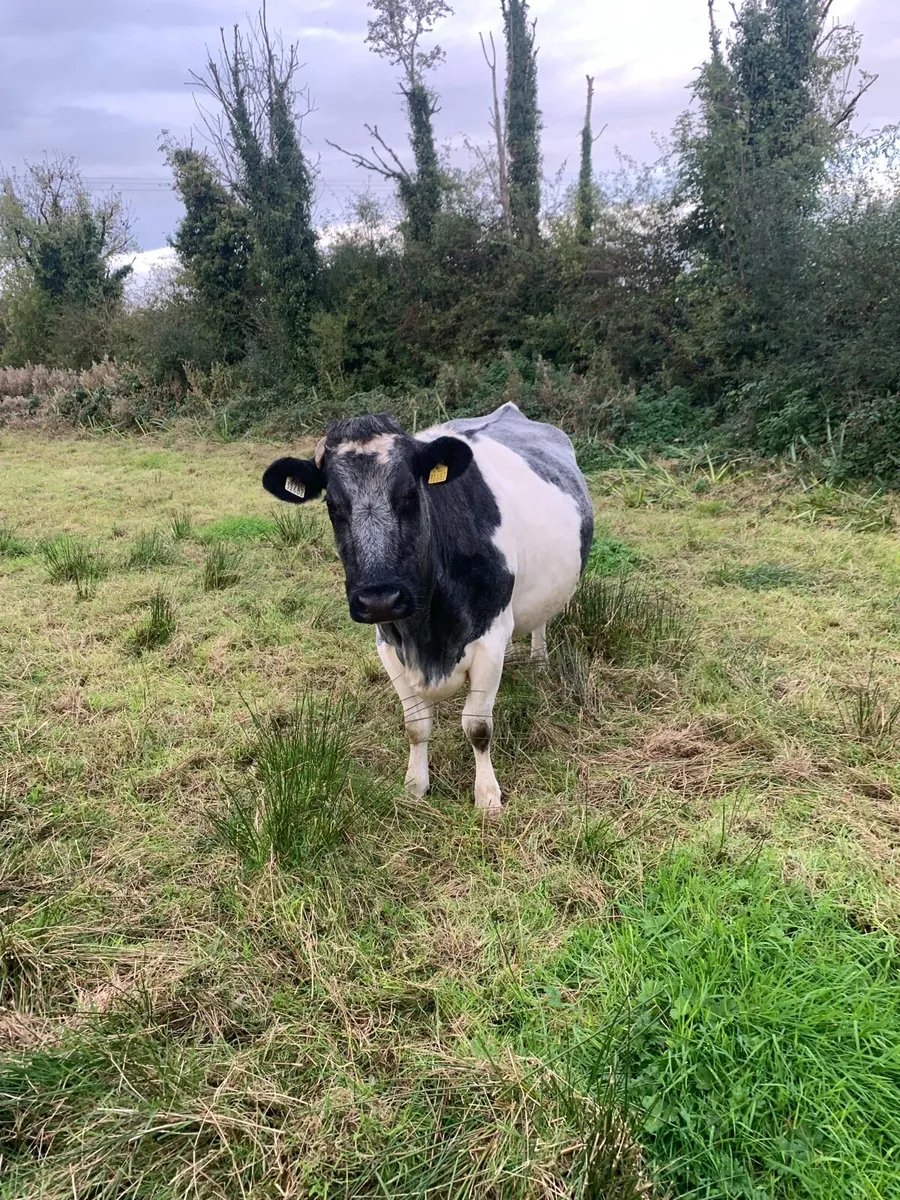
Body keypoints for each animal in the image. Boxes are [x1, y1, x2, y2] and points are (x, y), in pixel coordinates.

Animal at [262, 401, 593, 812]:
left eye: (409, 494)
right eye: (333, 505)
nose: (380, 599)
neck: (429, 636)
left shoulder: (490, 639)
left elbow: (478, 726)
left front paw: (487, 795)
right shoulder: (388, 643)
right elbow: (416, 725)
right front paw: (415, 785)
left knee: (541, 622)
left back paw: (538, 661)